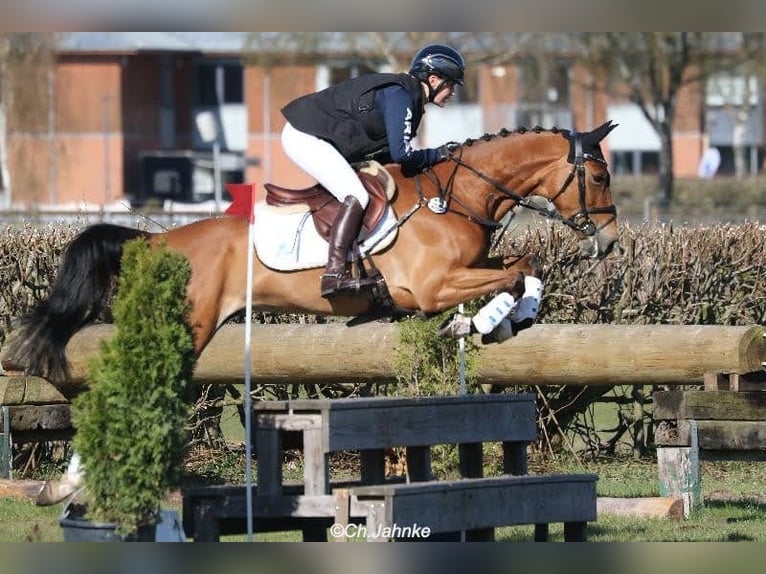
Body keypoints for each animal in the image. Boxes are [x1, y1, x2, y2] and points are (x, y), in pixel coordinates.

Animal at [3, 121, 620, 396]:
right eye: (598, 176)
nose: (612, 241)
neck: (456, 194)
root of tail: (155, 242)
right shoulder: (430, 288)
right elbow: (514, 273)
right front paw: (485, 321)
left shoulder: (463, 272)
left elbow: (523, 268)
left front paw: (502, 320)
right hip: (187, 322)